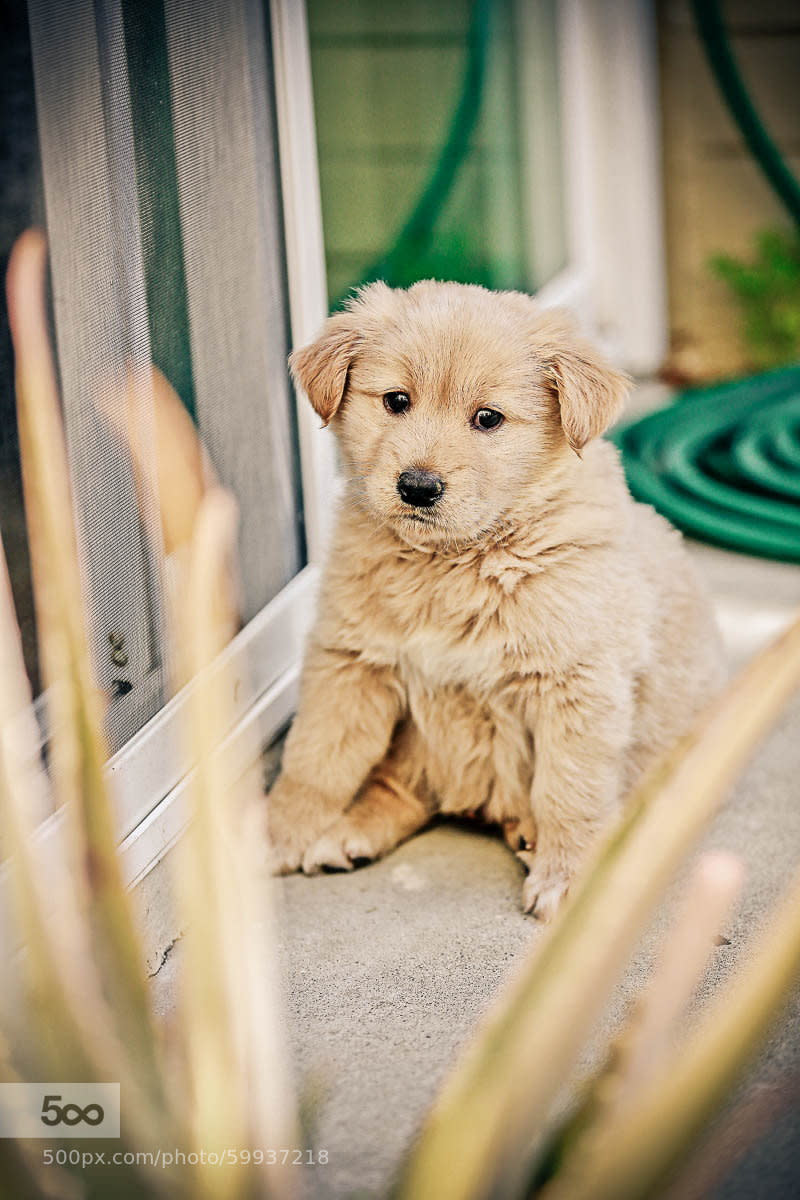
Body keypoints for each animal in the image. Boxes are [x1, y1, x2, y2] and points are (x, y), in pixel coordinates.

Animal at [263, 280, 724, 916]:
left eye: (488, 418)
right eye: (396, 401)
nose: (418, 487)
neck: (454, 561)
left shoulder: (577, 686)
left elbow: (569, 792)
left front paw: (566, 877)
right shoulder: (351, 662)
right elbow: (314, 760)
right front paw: (276, 835)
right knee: (396, 787)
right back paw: (348, 835)